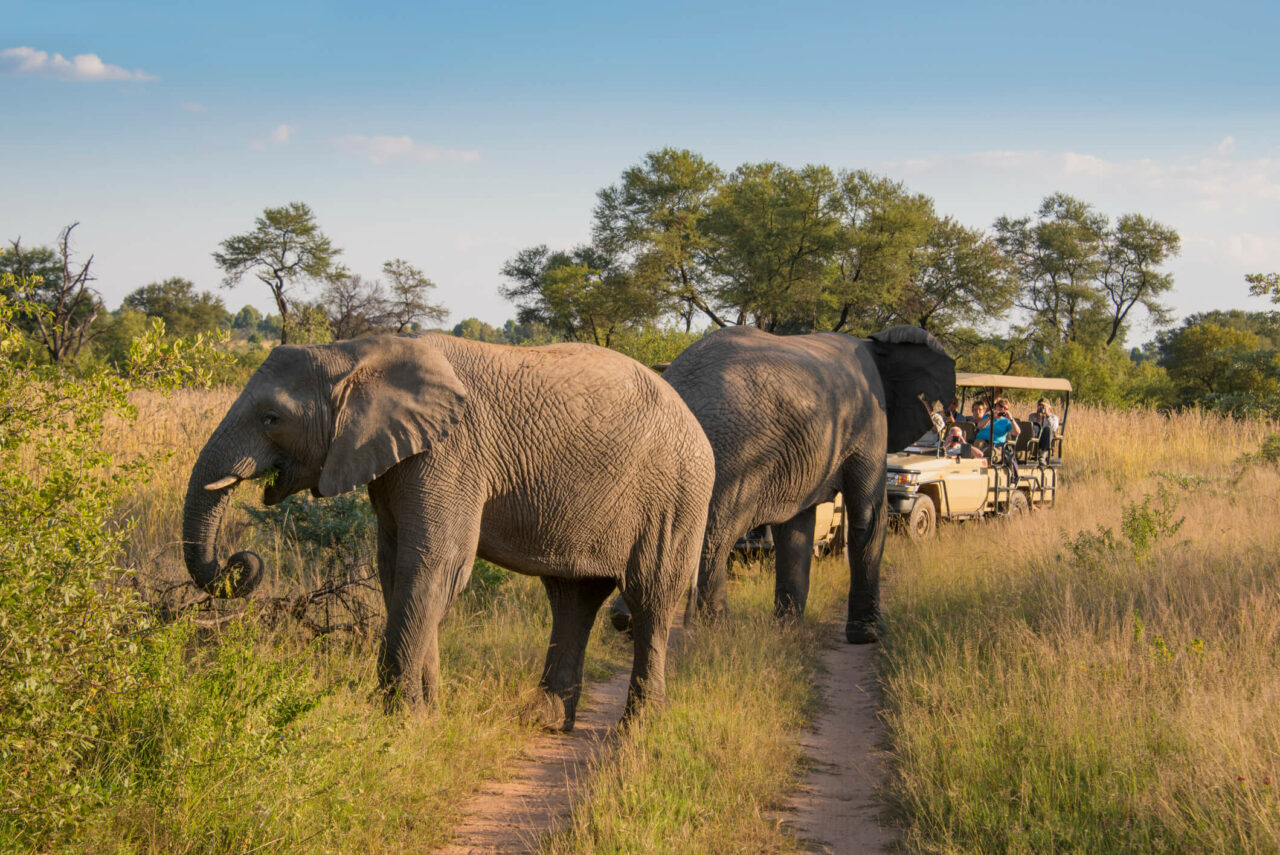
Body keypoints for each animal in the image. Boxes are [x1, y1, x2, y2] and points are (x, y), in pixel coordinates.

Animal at [184, 330, 716, 732]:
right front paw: (427, 717)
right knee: (573, 598)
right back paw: (542, 721)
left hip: (677, 494)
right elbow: (397, 570)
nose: (239, 561)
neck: (356, 352)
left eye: (272, 418)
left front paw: (398, 723)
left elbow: (435, 567)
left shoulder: (451, 453)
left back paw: (636, 730)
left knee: (650, 596)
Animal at [609, 325, 952, 639]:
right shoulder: (869, 422)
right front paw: (870, 635)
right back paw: (717, 632)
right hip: (735, 453)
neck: (874, 343)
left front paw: (788, 632)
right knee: (716, 538)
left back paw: (628, 621)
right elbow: (868, 516)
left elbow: (796, 532)